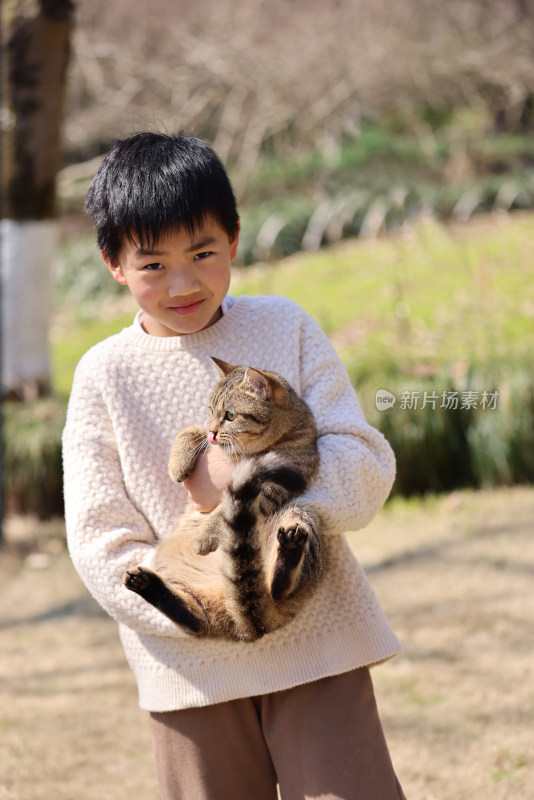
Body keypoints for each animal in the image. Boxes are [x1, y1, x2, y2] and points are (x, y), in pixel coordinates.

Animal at [125, 360, 322, 640]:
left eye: (230, 415)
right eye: (210, 410)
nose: (214, 431)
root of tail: (250, 626)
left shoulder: (270, 487)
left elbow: (221, 514)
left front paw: (204, 537)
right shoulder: (206, 437)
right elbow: (189, 430)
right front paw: (178, 464)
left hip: (300, 513)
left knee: (277, 589)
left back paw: (288, 552)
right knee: (195, 620)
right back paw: (146, 584)